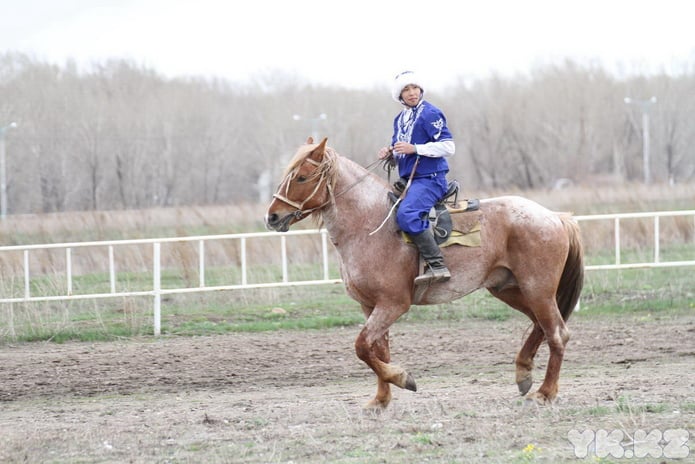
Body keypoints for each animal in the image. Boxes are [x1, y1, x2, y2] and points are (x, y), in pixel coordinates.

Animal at [264, 138, 584, 410]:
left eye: (302, 177)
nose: (272, 216)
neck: (370, 225)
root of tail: (556, 217)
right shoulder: (370, 306)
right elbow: (377, 350)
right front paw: (381, 399)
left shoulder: (393, 304)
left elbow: (362, 347)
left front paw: (402, 378)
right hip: (512, 290)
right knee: (540, 327)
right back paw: (523, 374)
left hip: (537, 290)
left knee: (557, 333)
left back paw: (545, 393)